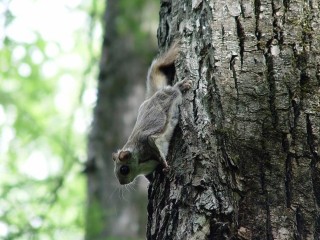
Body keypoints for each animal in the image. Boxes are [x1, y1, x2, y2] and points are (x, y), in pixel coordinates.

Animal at [111, 42, 191, 186]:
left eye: (124, 169)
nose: (121, 183)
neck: (139, 164)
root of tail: (153, 95)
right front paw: (152, 180)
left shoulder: (148, 142)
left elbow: (156, 150)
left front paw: (165, 164)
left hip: (168, 96)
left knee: (174, 91)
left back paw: (180, 86)